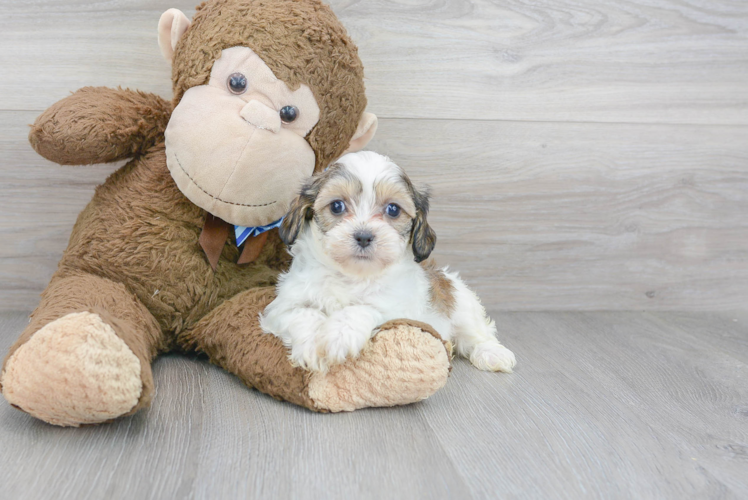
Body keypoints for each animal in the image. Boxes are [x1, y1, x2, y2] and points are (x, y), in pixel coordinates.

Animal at [258, 150, 516, 374]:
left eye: (393, 209)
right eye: (337, 206)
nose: (363, 236)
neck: (351, 275)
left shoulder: (400, 310)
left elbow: (365, 308)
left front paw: (339, 335)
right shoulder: (282, 307)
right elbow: (303, 313)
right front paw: (313, 344)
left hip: (462, 306)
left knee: (478, 334)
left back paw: (492, 353)